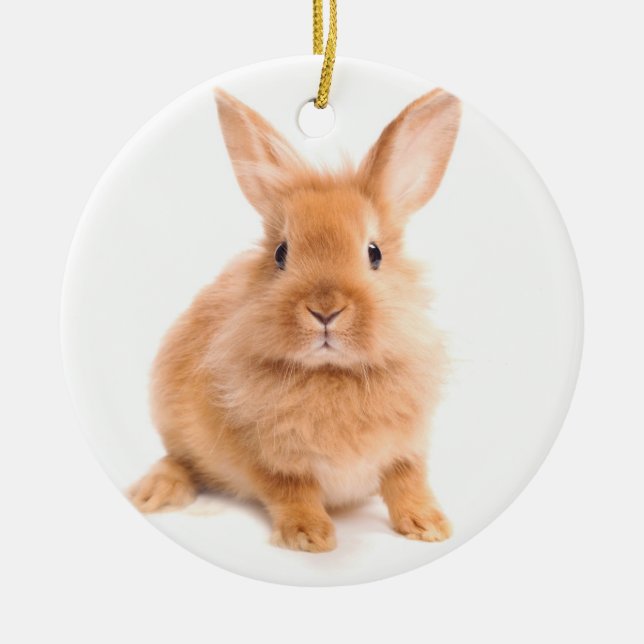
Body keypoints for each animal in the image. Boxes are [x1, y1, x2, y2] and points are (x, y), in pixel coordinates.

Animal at [128, 87, 461, 552]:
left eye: (374, 253)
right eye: (281, 253)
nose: (325, 309)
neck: (331, 374)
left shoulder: (406, 449)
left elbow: (407, 482)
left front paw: (429, 526)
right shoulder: (268, 460)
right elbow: (292, 491)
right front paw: (310, 536)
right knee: (180, 460)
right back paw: (153, 492)